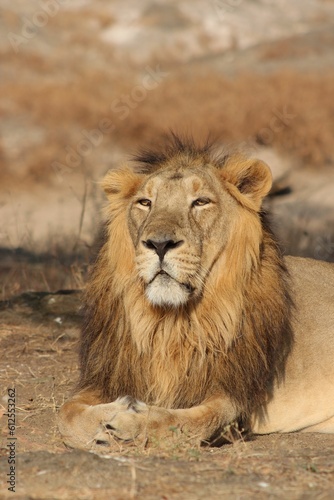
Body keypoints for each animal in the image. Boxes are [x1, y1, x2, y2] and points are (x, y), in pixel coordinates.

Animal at [58, 135, 334, 452]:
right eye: (145, 202)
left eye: (201, 202)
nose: (159, 244)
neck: (169, 321)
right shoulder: (109, 373)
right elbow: (66, 415)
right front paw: (116, 410)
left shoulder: (234, 394)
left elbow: (190, 421)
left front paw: (129, 423)